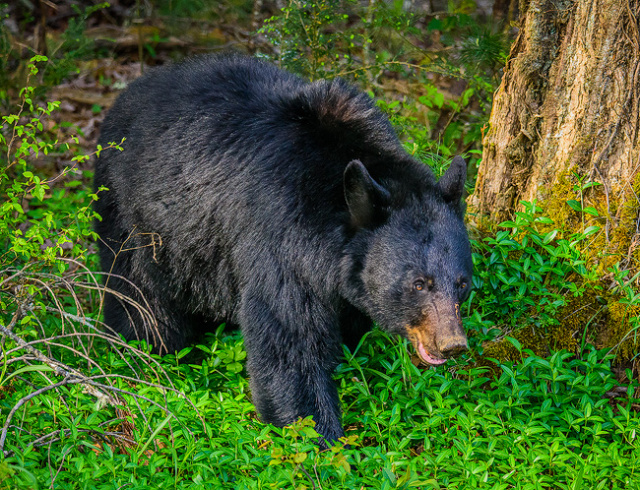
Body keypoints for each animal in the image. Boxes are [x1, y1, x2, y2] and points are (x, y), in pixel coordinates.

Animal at [96, 53, 476, 444]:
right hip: (138, 220)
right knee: (140, 298)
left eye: (462, 283)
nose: (452, 343)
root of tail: (129, 92)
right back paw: (149, 356)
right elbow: (290, 346)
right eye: (419, 284)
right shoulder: (280, 239)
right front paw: (320, 439)